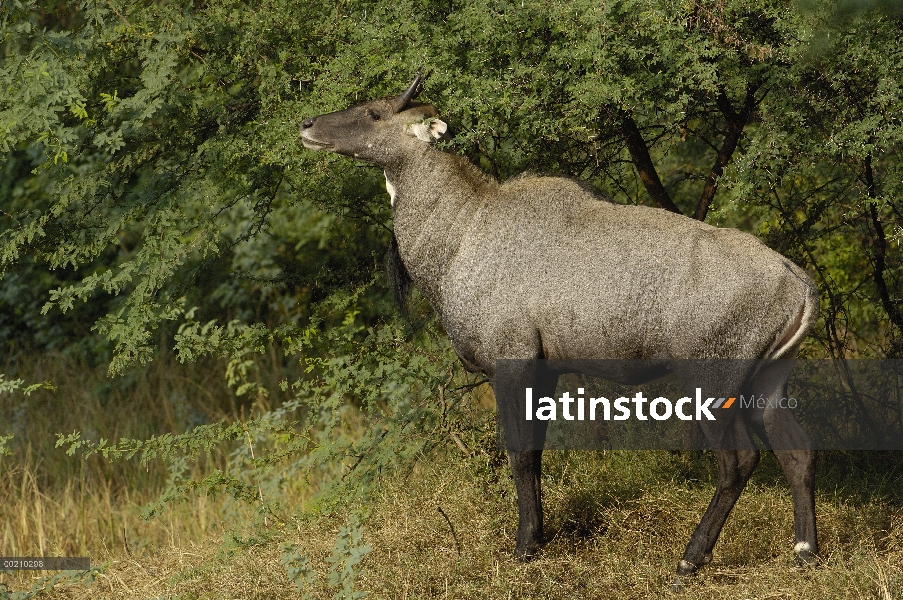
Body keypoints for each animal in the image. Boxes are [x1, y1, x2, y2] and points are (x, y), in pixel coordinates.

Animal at [300, 72, 824, 580]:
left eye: (374, 113)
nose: (307, 125)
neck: (463, 231)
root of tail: (796, 282)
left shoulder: (511, 363)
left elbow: (517, 454)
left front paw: (523, 548)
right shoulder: (544, 369)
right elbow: (535, 454)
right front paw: (539, 538)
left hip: (711, 380)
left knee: (739, 461)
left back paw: (689, 560)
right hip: (768, 379)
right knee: (797, 450)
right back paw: (805, 553)